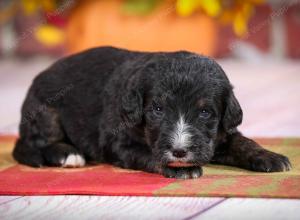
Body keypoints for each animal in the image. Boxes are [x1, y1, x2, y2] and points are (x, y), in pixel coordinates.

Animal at [12, 46, 292, 179]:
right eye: (157, 109)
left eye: (204, 112)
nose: (179, 151)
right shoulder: (119, 143)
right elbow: (150, 154)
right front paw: (179, 168)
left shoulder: (219, 135)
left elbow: (242, 142)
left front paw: (270, 157)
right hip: (46, 111)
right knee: (35, 143)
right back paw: (67, 154)